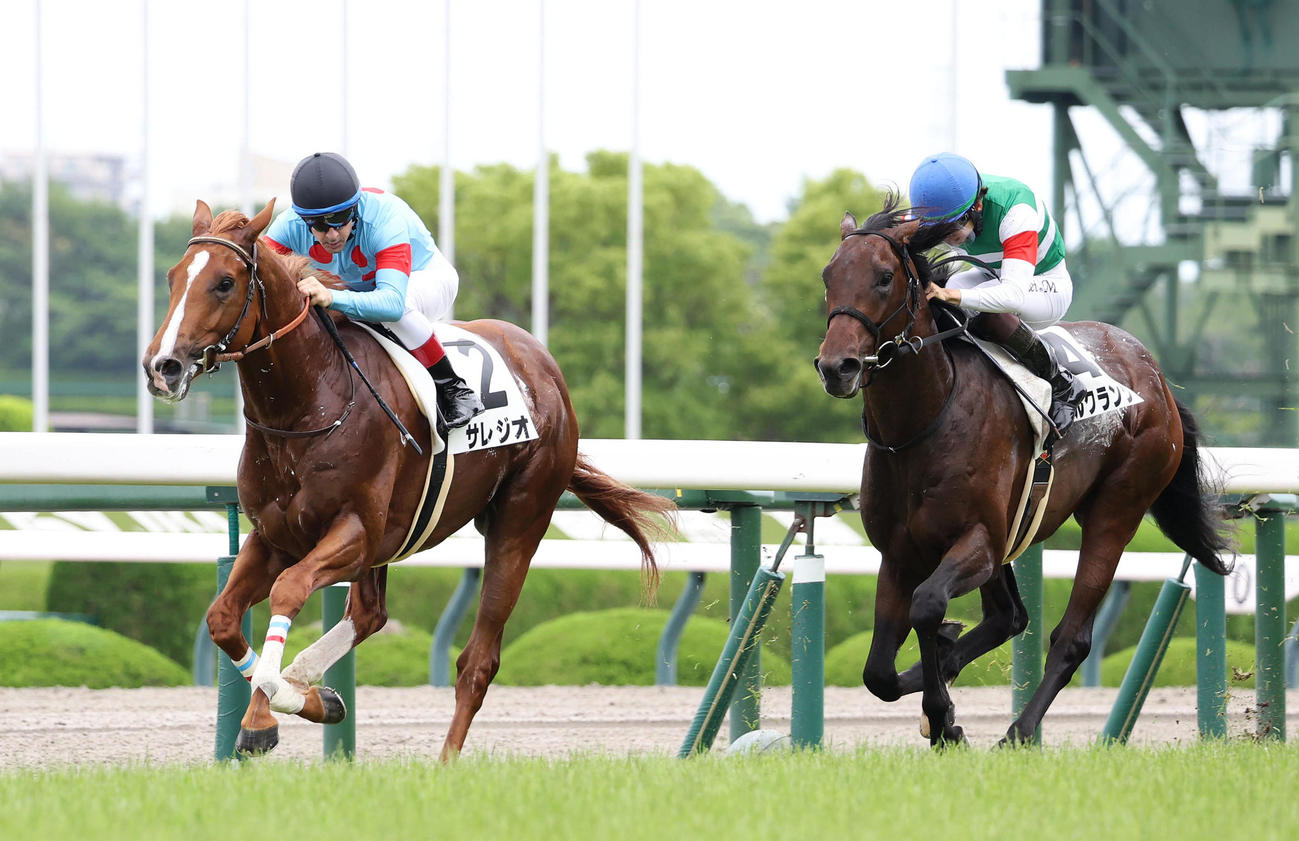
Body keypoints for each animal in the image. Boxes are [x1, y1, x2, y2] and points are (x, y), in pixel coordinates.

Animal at [143, 199, 675, 760]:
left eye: (224, 283)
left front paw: (267, 714)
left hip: (519, 520)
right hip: (394, 539)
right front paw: (303, 701)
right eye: (174, 276)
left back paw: (444, 761)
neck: (308, 405)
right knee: (370, 614)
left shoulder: (354, 533)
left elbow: (289, 591)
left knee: (477, 660)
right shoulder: (277, 536)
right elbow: (222, 617)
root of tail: (546, 369)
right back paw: (310, 685)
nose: (163, 366)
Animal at [813, 193, 1232, 746]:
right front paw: (941, 693)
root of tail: (1157, 377)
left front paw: (943, 717)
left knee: (1070, 637)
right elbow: (877, 672)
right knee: (1008, 617)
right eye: (828, 275)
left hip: (1115, 510)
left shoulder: (980, 541)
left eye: (884, 277)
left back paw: (1019, 730)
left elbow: (927, 605)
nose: (836, 367)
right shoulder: (900, 553)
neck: (924, 422)